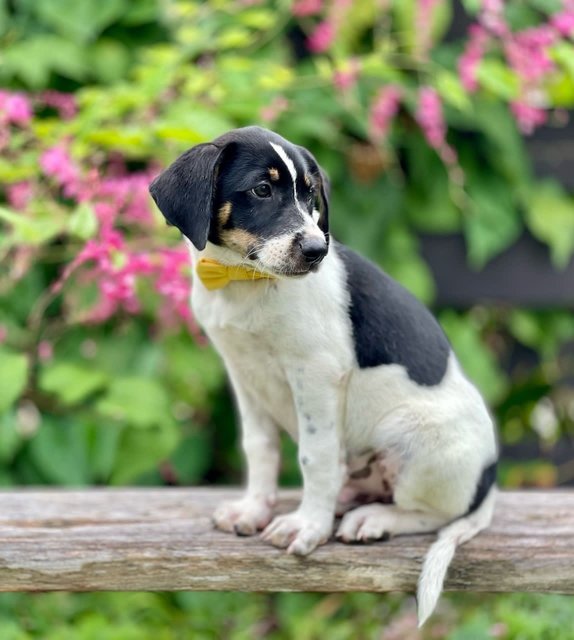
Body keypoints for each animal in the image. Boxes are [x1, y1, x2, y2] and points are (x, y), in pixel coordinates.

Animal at [150, 126, 500, 624]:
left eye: (310, 194)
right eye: (262, 189)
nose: (318, 250)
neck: (244, 280)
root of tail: (488, 485)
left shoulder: (315, 373)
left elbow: (314, 457)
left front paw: (307, 526)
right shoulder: (243, 372)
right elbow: (259, 449)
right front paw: (253, 509)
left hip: (412, 439)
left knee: (432, 514)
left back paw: (373, 518)